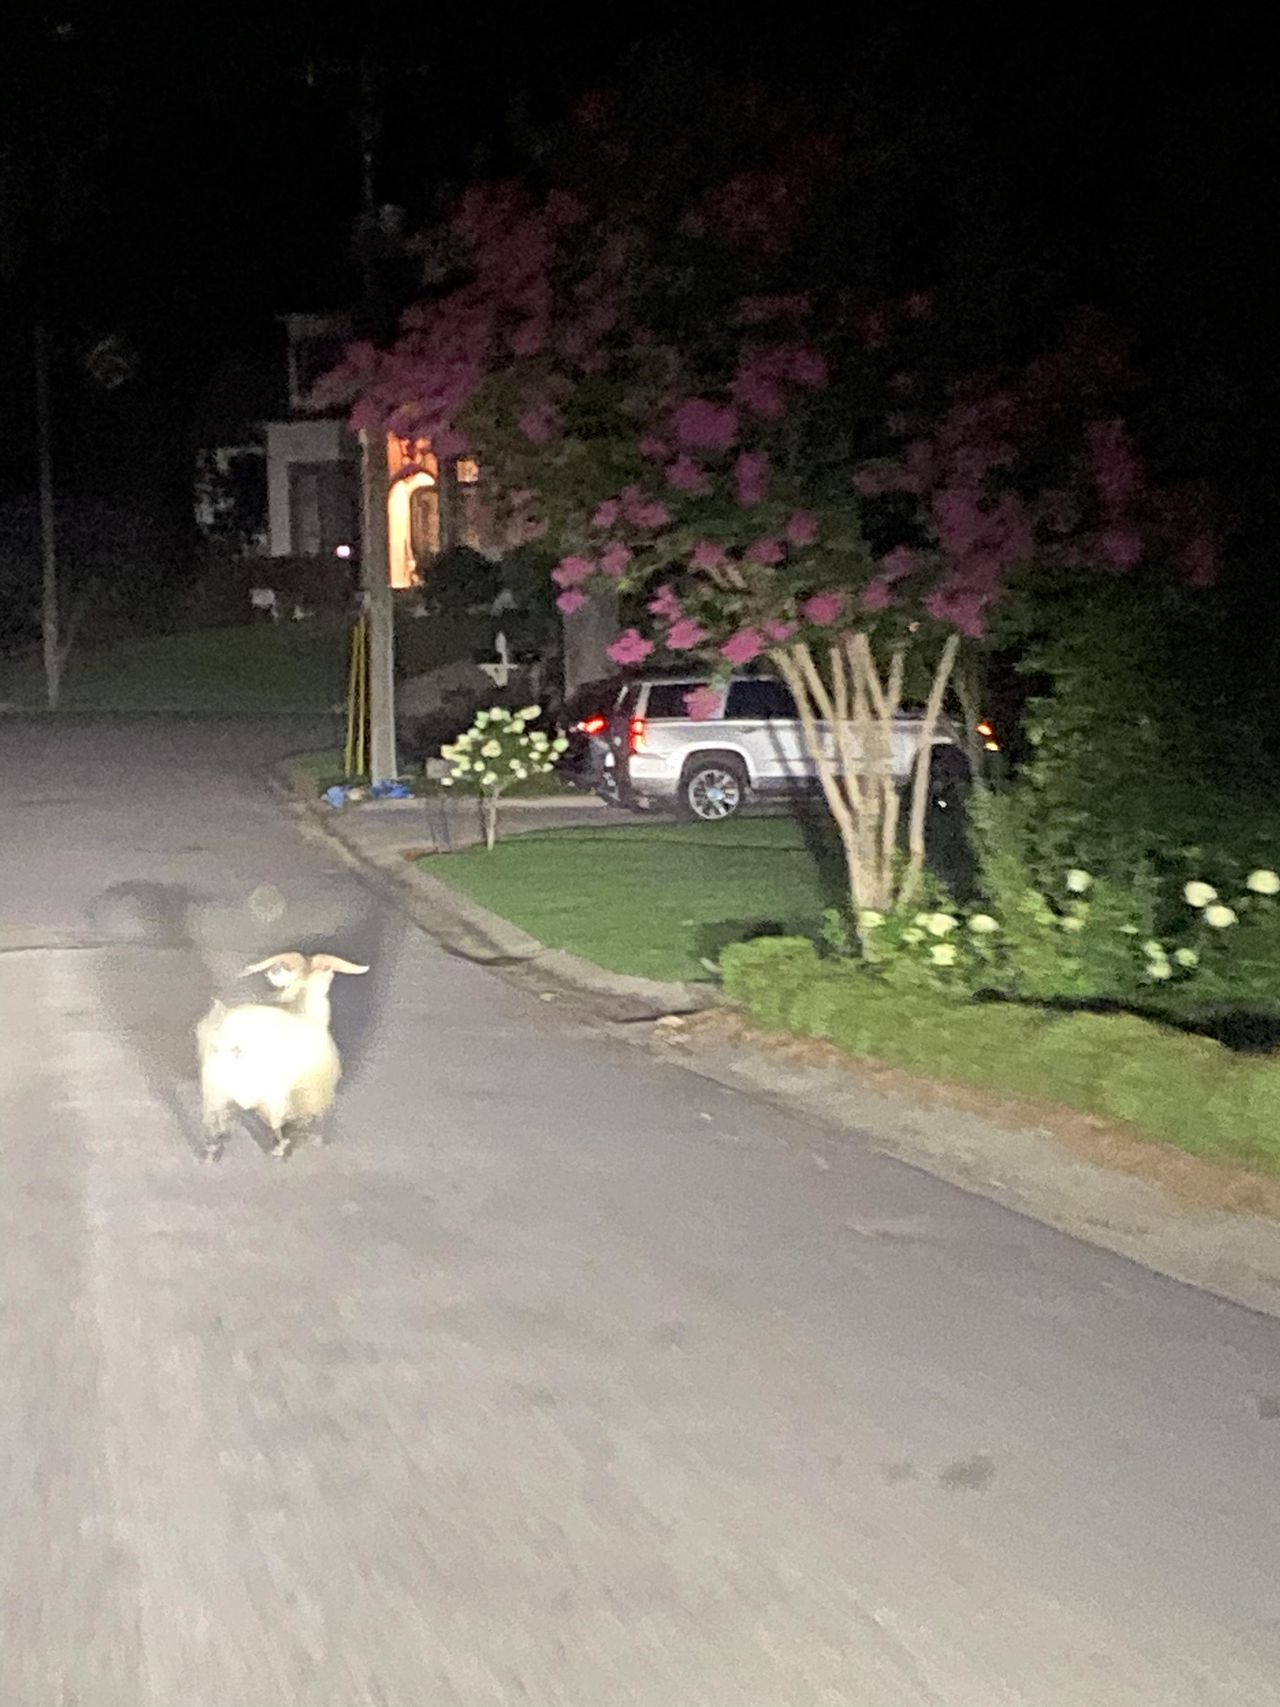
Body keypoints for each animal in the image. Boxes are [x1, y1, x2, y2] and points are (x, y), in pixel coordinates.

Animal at [195, 949, 368, 1160]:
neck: (304, 1011)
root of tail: (233, 1043)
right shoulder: (310, 1087)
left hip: (213, 1086)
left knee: (212, 1120)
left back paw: (213, 1148)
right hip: (271, 1090)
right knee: (274, 1122)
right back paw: (280, 1147)